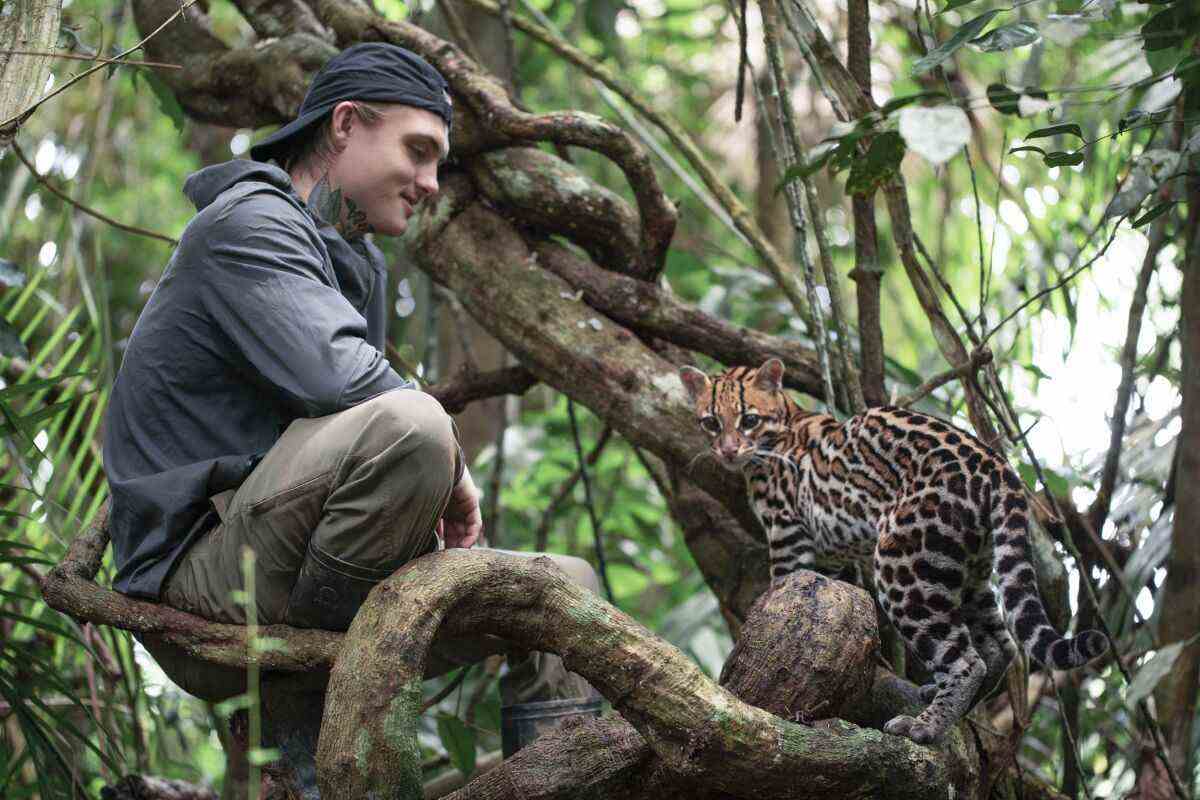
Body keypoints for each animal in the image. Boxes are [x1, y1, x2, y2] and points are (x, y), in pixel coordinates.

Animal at [681, 359, 1108, 748]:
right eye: (711, 423)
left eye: (749, 420)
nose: (728, 450)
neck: (784, 423)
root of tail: (997, 464)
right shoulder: (833, 559)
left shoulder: (788, 534)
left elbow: (781, 589)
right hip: (971, 568)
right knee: (1002, 648)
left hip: (904, 565)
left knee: (967, 660)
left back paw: (926, 726)